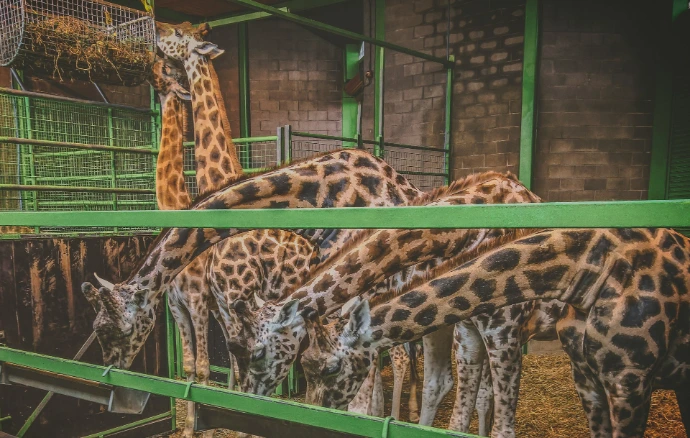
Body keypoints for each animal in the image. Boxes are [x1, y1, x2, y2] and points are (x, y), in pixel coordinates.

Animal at [299, 227, 690, 438]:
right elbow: (460, 415)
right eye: (304, 365)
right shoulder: (472, 336)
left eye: (330, 369)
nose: (312, 414)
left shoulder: (627, 379)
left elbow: (502, 424)